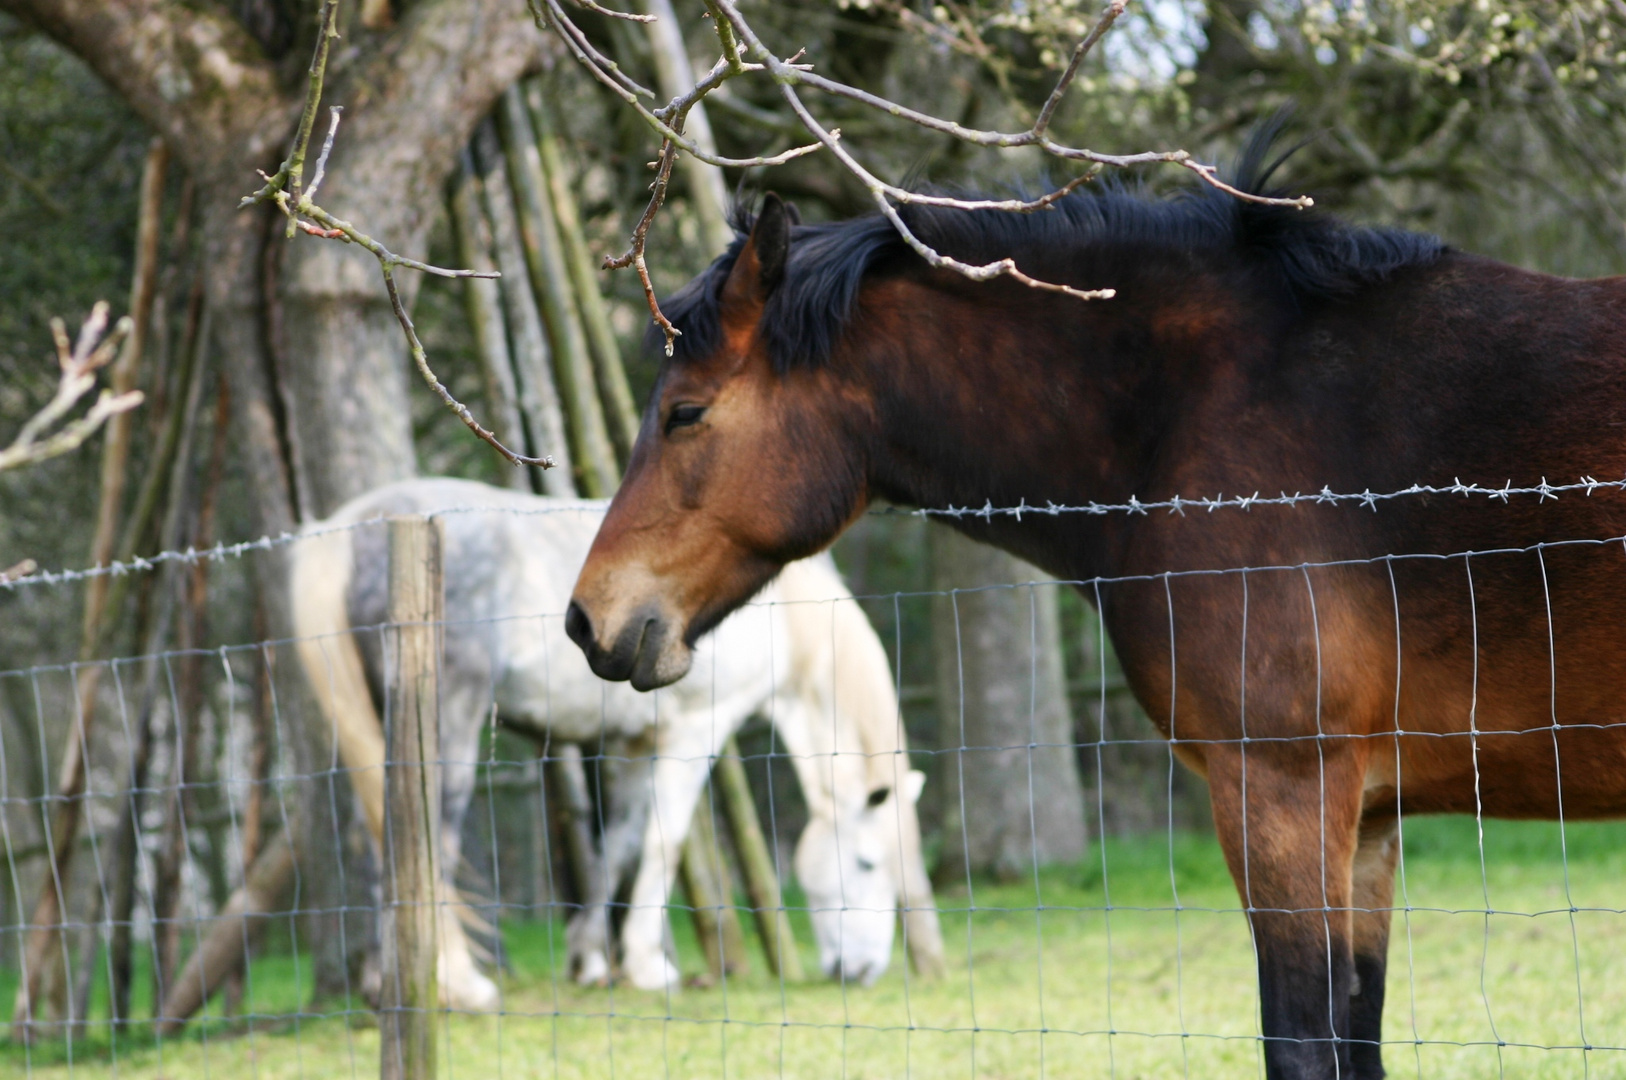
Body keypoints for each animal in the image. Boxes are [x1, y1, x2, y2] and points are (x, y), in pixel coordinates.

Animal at [286, 481, 936, 1001]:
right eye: (868, 862)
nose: (860, 970)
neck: (784, 618)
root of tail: (354, 525)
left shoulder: (632, 743)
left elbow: (615, 847)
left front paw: (593, 961)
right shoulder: (695, 729)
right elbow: (662, 843)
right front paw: (649, 967)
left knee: (371, 837)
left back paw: (383, 988)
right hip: (452, 726)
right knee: (425, 843)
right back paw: (460, 986)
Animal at [565, 137, 1626, 1080]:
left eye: (686, 413)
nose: (588, 618)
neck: (1192, 415)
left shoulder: (1283, 790)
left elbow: (1303, 1046)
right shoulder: (1367, 817)